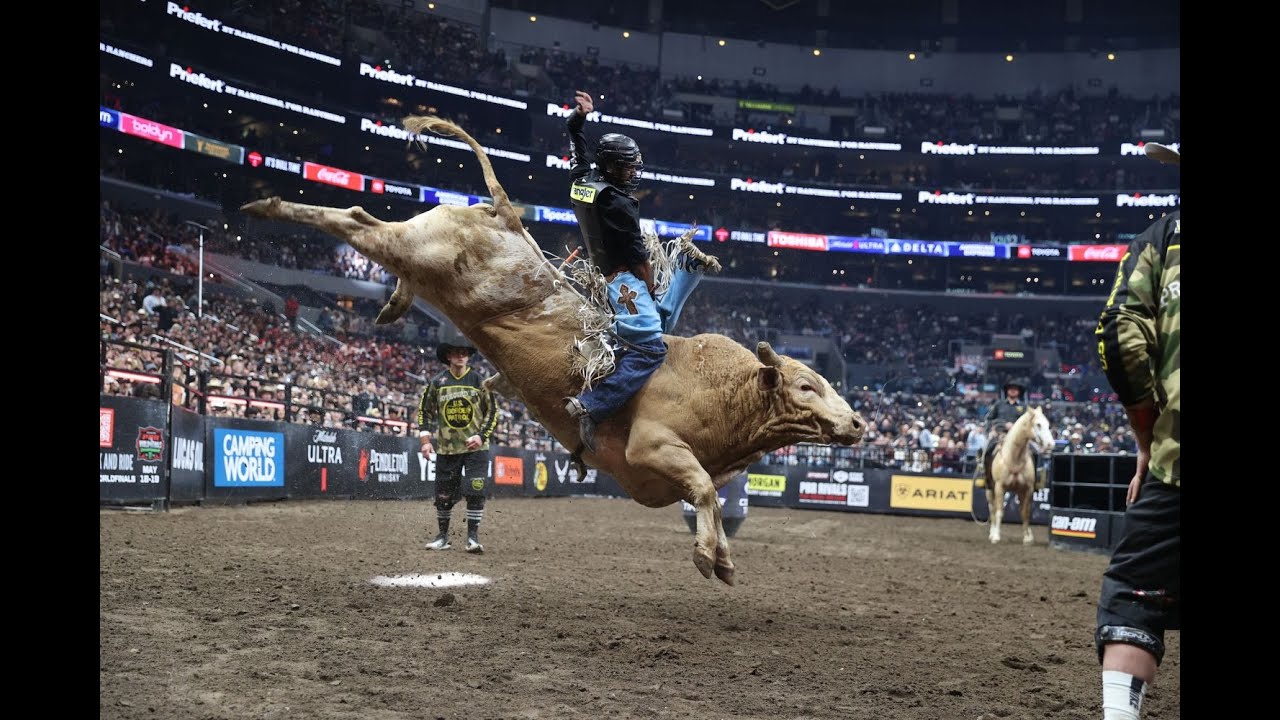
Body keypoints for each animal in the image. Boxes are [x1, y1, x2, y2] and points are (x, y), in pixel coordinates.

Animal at [240, 116, 866, 584]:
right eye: (806, 385)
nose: (859, 424)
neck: (723, 392)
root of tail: (503, 213)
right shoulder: (652, 449)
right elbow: (707, 491)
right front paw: (711, 557)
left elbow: (710, 495)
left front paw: (725, 560)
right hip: (416, 247)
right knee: (353, 218)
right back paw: (265, 206)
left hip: (421, 259)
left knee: (373, 234)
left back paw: (392, 303)